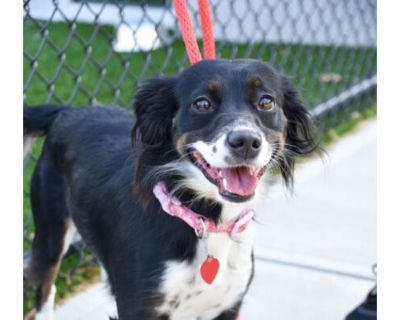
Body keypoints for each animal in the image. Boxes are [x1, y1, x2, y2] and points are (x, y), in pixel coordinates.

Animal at [23, 58, 318, 318]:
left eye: (266, 101)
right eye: (202, 103)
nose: (245, 141)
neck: (206, 221)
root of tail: (66, 112)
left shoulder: (228, 306)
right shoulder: (140, 308)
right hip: (49, 236)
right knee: (45, 290)